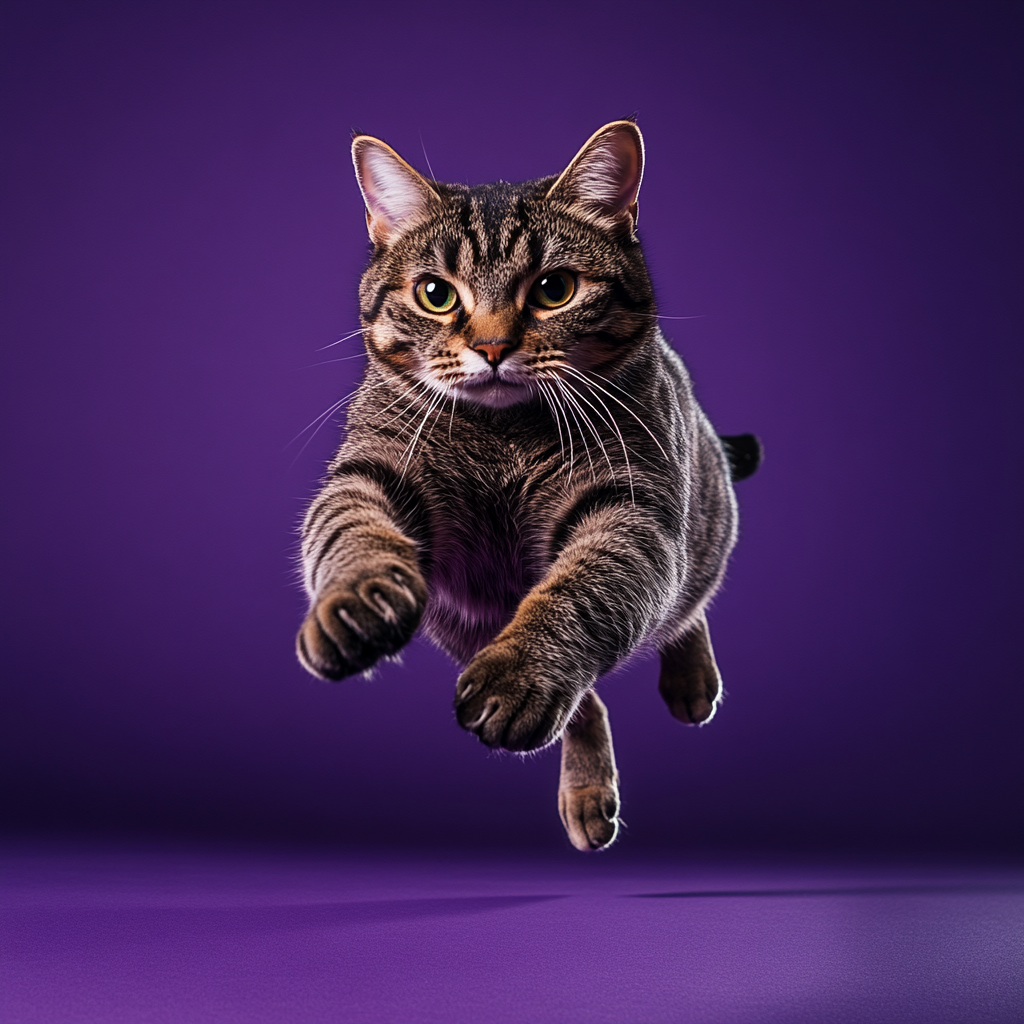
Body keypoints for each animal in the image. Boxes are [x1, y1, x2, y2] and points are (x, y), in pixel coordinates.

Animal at [296, 119, 761, 851]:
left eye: (554, 288)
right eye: (435, 294)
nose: (491, 348)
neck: (502, 434)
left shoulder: (633, 508)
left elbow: (579, 592)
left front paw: (523, 671)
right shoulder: (373, 469)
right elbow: (350, 530)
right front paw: (354, 602)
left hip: (703, 517)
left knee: (687, 604)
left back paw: (689, 676)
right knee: (589, 703)